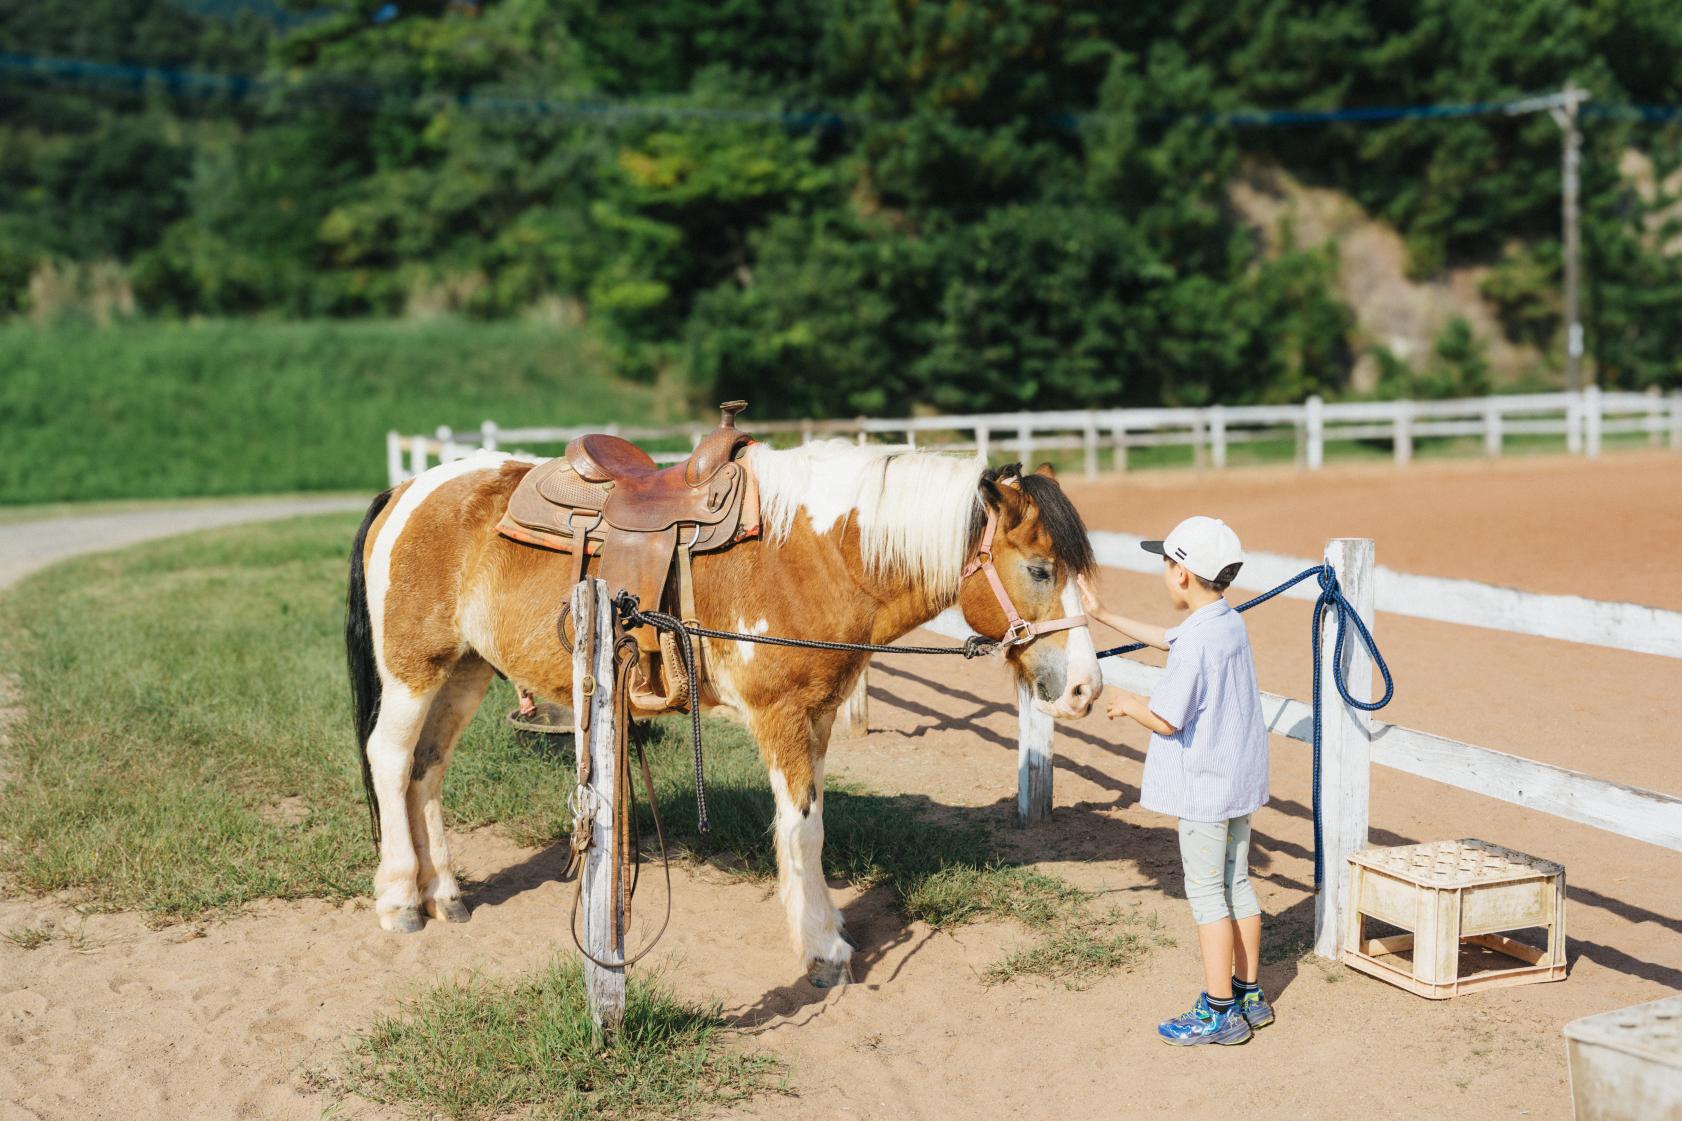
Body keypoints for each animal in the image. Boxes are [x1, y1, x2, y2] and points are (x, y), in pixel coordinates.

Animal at [344, 438, 1101, 986]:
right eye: (1040, 569)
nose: (1087, 689)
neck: (815, 555)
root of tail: (406, 491)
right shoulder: (781, 717)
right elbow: (803, 831)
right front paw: (824, 950)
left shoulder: (816, 718)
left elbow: (810, 826)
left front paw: (822, 929)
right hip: (414, 671)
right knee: (390, 759)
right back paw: (401, 900)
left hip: (465, 673)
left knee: (427, 772)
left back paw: (445, 893)